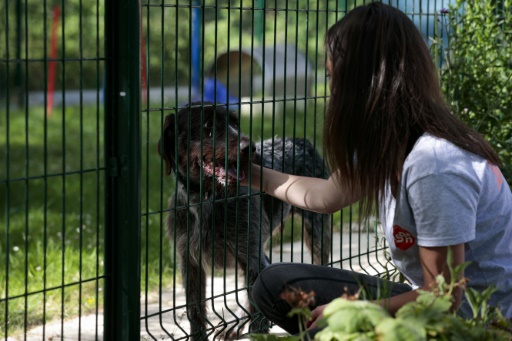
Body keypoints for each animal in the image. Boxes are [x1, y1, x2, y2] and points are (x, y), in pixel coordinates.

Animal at [159, 102, 332, 338]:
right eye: (207, 124)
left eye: (235, 122)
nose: (251, 149)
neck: (207, 199)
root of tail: (300, 141)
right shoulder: (190, 264)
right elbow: (195, 310)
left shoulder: (251, 259)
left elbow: (258, 313)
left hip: (316, 232)